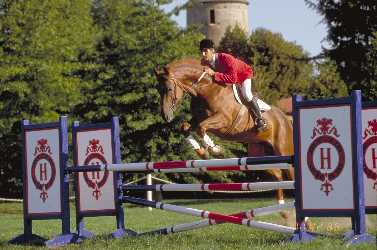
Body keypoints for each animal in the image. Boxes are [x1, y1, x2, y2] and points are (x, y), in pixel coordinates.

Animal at [154, 58, 296, 207]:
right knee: (278, 174)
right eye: (158, 89)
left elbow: (201, 127)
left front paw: (215, 150)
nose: (166, 116)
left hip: (284, 151)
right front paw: (201, 151)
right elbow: (185, 127)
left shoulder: (223, 120)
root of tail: (286, 118)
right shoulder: (197, 119)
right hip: (260, 156)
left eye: (169, 89)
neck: (206, 89)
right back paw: (281, 204)